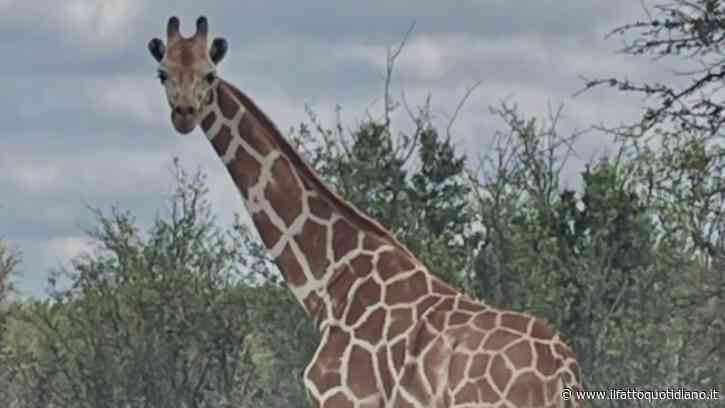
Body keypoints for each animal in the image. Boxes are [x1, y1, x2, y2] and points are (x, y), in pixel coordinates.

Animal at [147, 16, 585, 408]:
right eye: (163, 73)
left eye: (209, 75)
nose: (184, 113)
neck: (329, 284)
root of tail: (564, 372)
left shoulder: (344, 398)